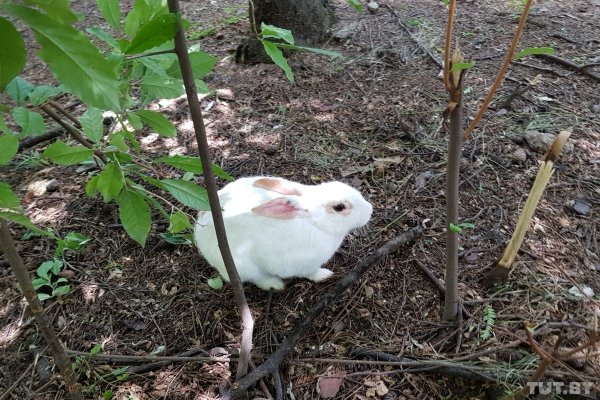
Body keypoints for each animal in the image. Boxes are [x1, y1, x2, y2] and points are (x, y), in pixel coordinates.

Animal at [193, 177, 370, 290]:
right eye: (339, 207)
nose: (370, 209)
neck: (315, 224)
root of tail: (199, 234)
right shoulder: (305, 264)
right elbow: (311, 273)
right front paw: (325, 275)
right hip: (243, 267)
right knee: (257, 278)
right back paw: (275, 285)